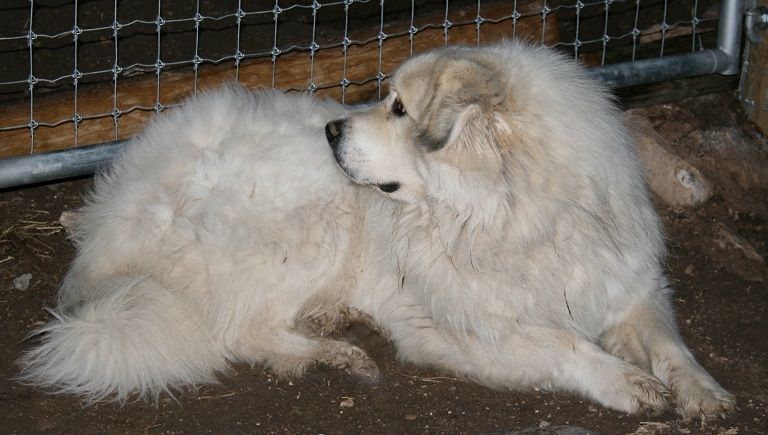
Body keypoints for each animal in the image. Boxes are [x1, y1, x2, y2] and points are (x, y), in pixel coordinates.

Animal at [19, 42, 734, 418]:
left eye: (398, 108)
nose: (332, 128)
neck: (519, 217)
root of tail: (106, 228)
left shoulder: (633, 290)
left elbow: (671, 346)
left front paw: (704, 393)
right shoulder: (458, 326)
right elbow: (564, 343)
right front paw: (626, 382)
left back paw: (329, 323)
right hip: (315, 212)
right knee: (239, 330)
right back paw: (330, 353)